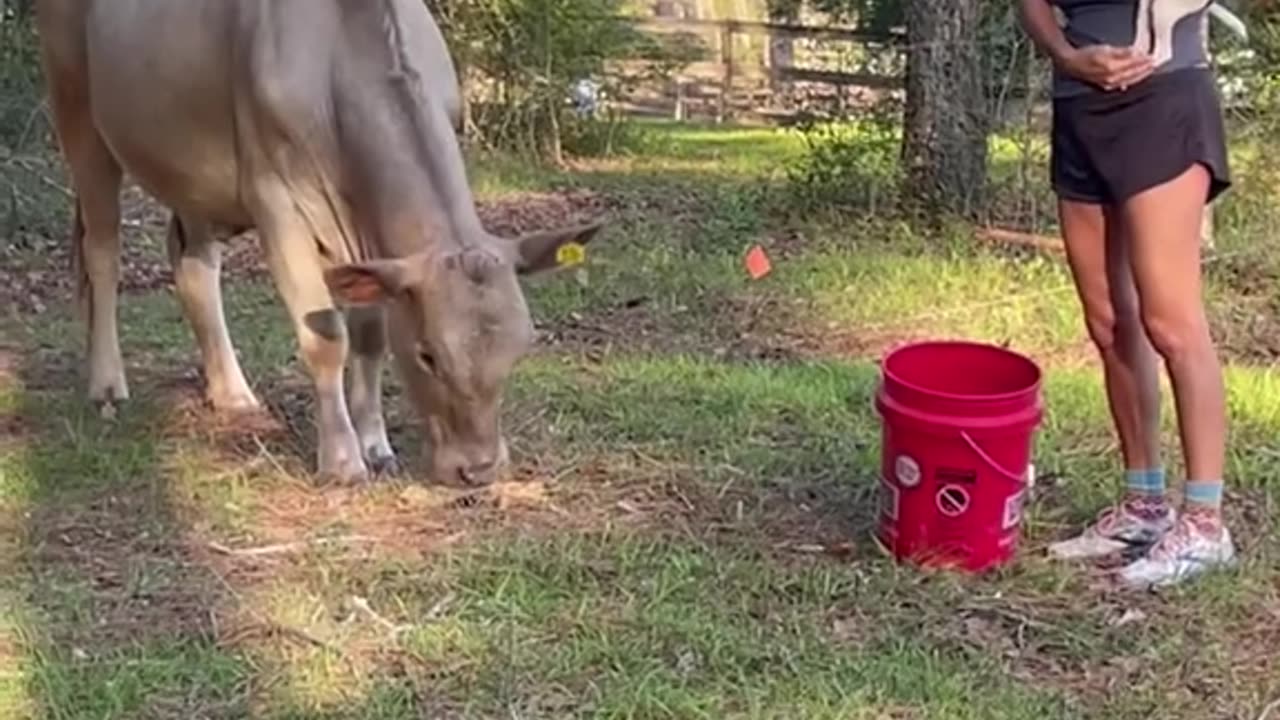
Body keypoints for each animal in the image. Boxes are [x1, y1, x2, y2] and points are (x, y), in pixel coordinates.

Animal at [33, 0, 604, 484]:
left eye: (520, 348)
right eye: (428, 355)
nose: (479, 469)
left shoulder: (373, 240)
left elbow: (371, 334)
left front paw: (376, 444)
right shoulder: (274, 199)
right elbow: (327, 336)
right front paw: (343, 459)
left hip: (190, 167)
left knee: (192, 262)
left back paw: (231, 392)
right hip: (77, 110)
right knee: (102, 250)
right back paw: (107, 384)